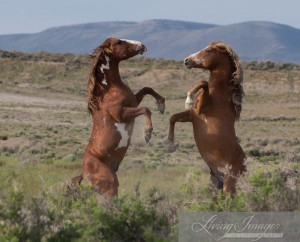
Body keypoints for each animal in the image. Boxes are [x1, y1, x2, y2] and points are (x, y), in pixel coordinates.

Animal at [73, 37, 165, 197]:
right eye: (119, 42)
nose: (142, 45)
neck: (108, 91)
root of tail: (84, 175)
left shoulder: (133, 101)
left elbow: (147, 89)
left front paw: (161, 104)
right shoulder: (121, 114)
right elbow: (146, 109)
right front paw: (147, 133)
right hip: (110, 186)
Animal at [166, 41, 246, 193]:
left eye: (208, 50)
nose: (186, 60)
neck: (218, 95)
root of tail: (245, 166)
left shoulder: (201, 111)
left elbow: (204, 82)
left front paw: (189, 99)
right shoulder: (193, 116)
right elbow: (173, 117)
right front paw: (171, 145)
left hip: (229, 186)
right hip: (214, 184)